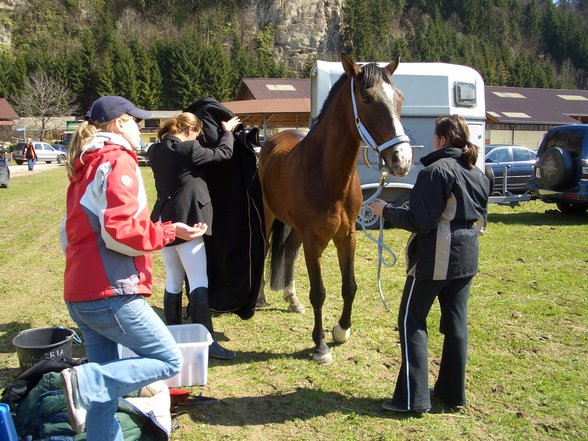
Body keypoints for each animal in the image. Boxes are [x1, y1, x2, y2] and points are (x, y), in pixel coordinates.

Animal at [258, 53, 414, 360]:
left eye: (400, 97)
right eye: (367, 98)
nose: (401, 159)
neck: (327, 174)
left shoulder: (347, 235)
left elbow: (349, 286)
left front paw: (341, 331)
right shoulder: (313, 239)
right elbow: (318, 292)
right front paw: (320, 345)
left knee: (289, 251)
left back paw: (292, 300)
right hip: (270, 215)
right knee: (266, 247)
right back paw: (259, 298)